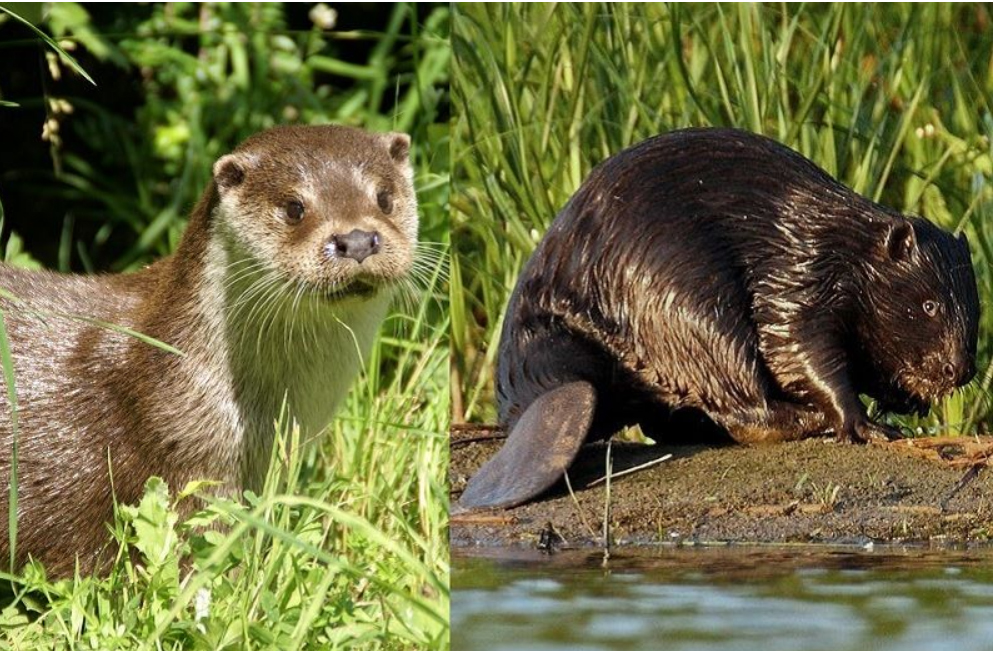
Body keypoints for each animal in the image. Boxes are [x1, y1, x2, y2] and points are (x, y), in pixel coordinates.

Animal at [462, 127, 980, 512]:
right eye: (931, 306)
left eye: (974, 308)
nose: (959, 369)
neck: (843, 243)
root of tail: (552, 388)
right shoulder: (801, 276)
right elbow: (798, 344)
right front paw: (866, 423)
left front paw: (909, 400)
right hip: (688, 303)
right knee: (744, 404)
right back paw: (812, 418)